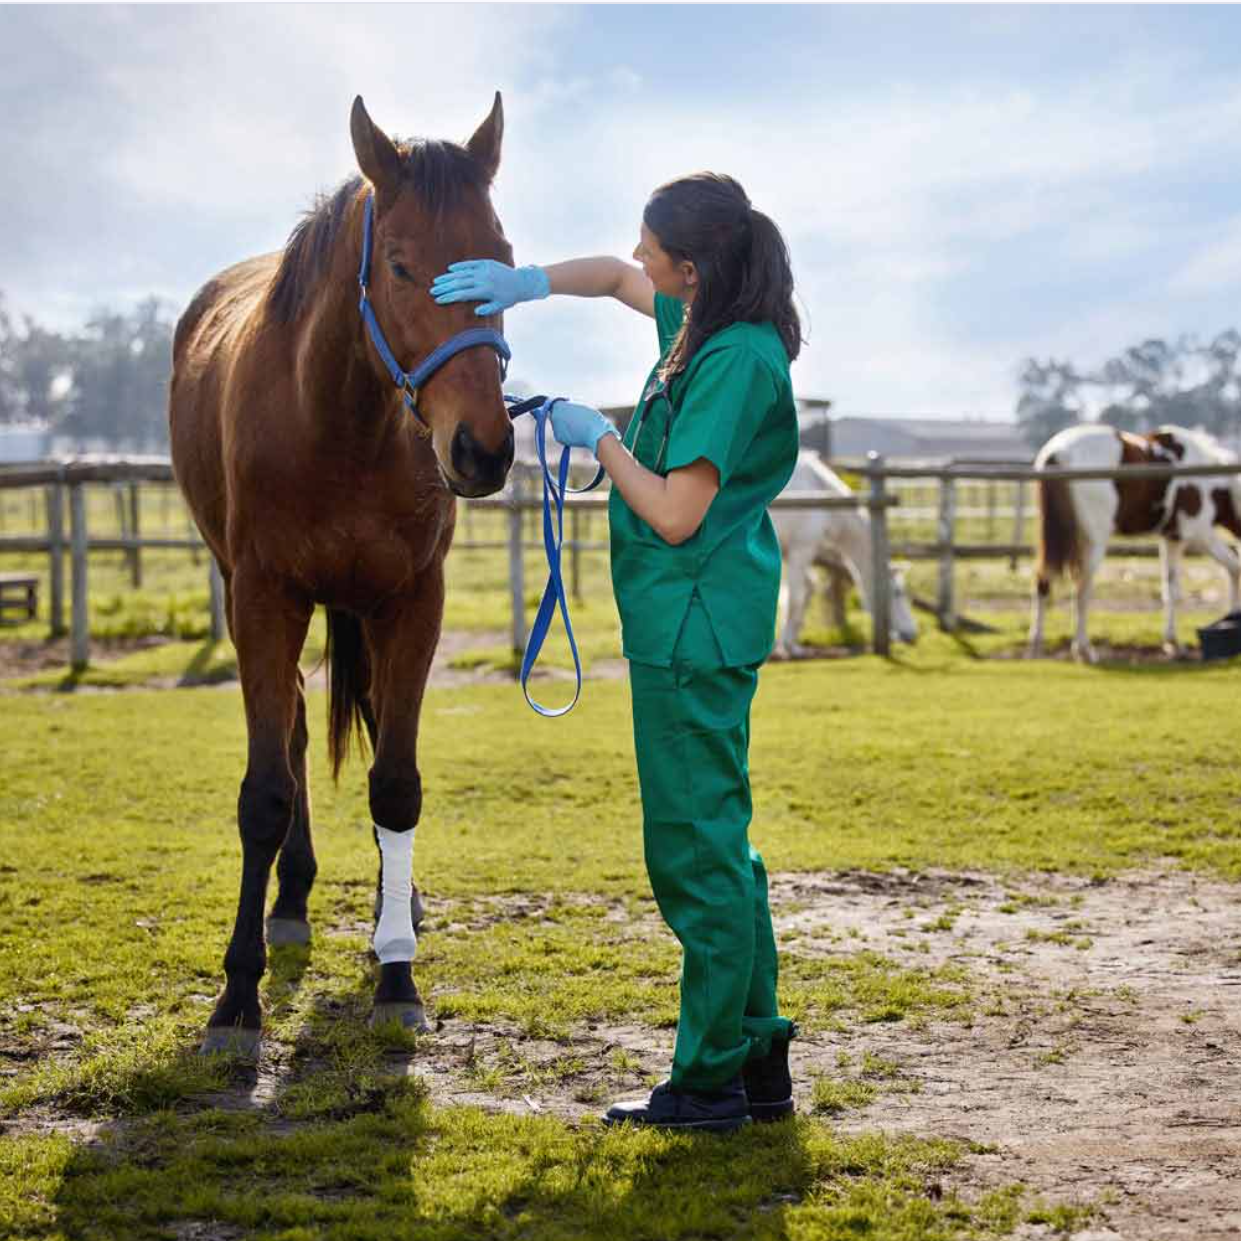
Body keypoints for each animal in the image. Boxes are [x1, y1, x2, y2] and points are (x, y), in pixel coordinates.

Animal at [168, 95, 518, 1054]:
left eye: (503, 256)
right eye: (399, 264)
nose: (482, 448)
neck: (336, 422)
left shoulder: (414, 601)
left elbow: (396, 783)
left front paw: (397, 973)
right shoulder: (262, 598)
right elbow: (265, 792)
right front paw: (236, 995)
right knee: (288, 733)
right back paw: (289, 900)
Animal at [772, 451, 918, 656]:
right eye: (898, 593)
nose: (912, 634)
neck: (821, 496)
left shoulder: (790, 553)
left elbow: (807, 590)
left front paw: (791, 645)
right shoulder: (801, 549)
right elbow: (795, 599)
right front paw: (783, 648)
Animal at [1028, 423, 1241, 662]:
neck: (1212, 481)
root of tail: (1059, 452)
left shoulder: (1171, 539)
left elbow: (1171, 590)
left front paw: (1172, 643)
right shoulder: (1199, 533)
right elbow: (1234, 567)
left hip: (1057, 537)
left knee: (1043, 580)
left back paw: (1037, 644)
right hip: (1094, 540)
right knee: (1082, 588)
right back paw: (1084, 649)